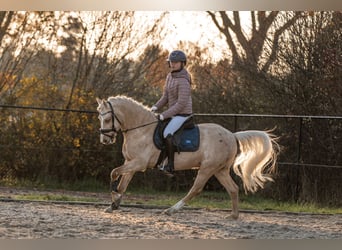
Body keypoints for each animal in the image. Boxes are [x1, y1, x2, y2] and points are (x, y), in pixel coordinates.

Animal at [97, 95, 280, 219]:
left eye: (108, 118)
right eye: (99, 117)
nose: (105, 140)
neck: (141, 129)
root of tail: (232, 135)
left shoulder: (139, 163)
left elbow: (114, 173)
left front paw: (114, 199)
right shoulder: (130, 163)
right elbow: (122, 184)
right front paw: (114, 204)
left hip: (207, 169)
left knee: (195, 189)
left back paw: (171, 210)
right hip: (220, 170)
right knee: (233, 189)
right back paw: (233, 216)